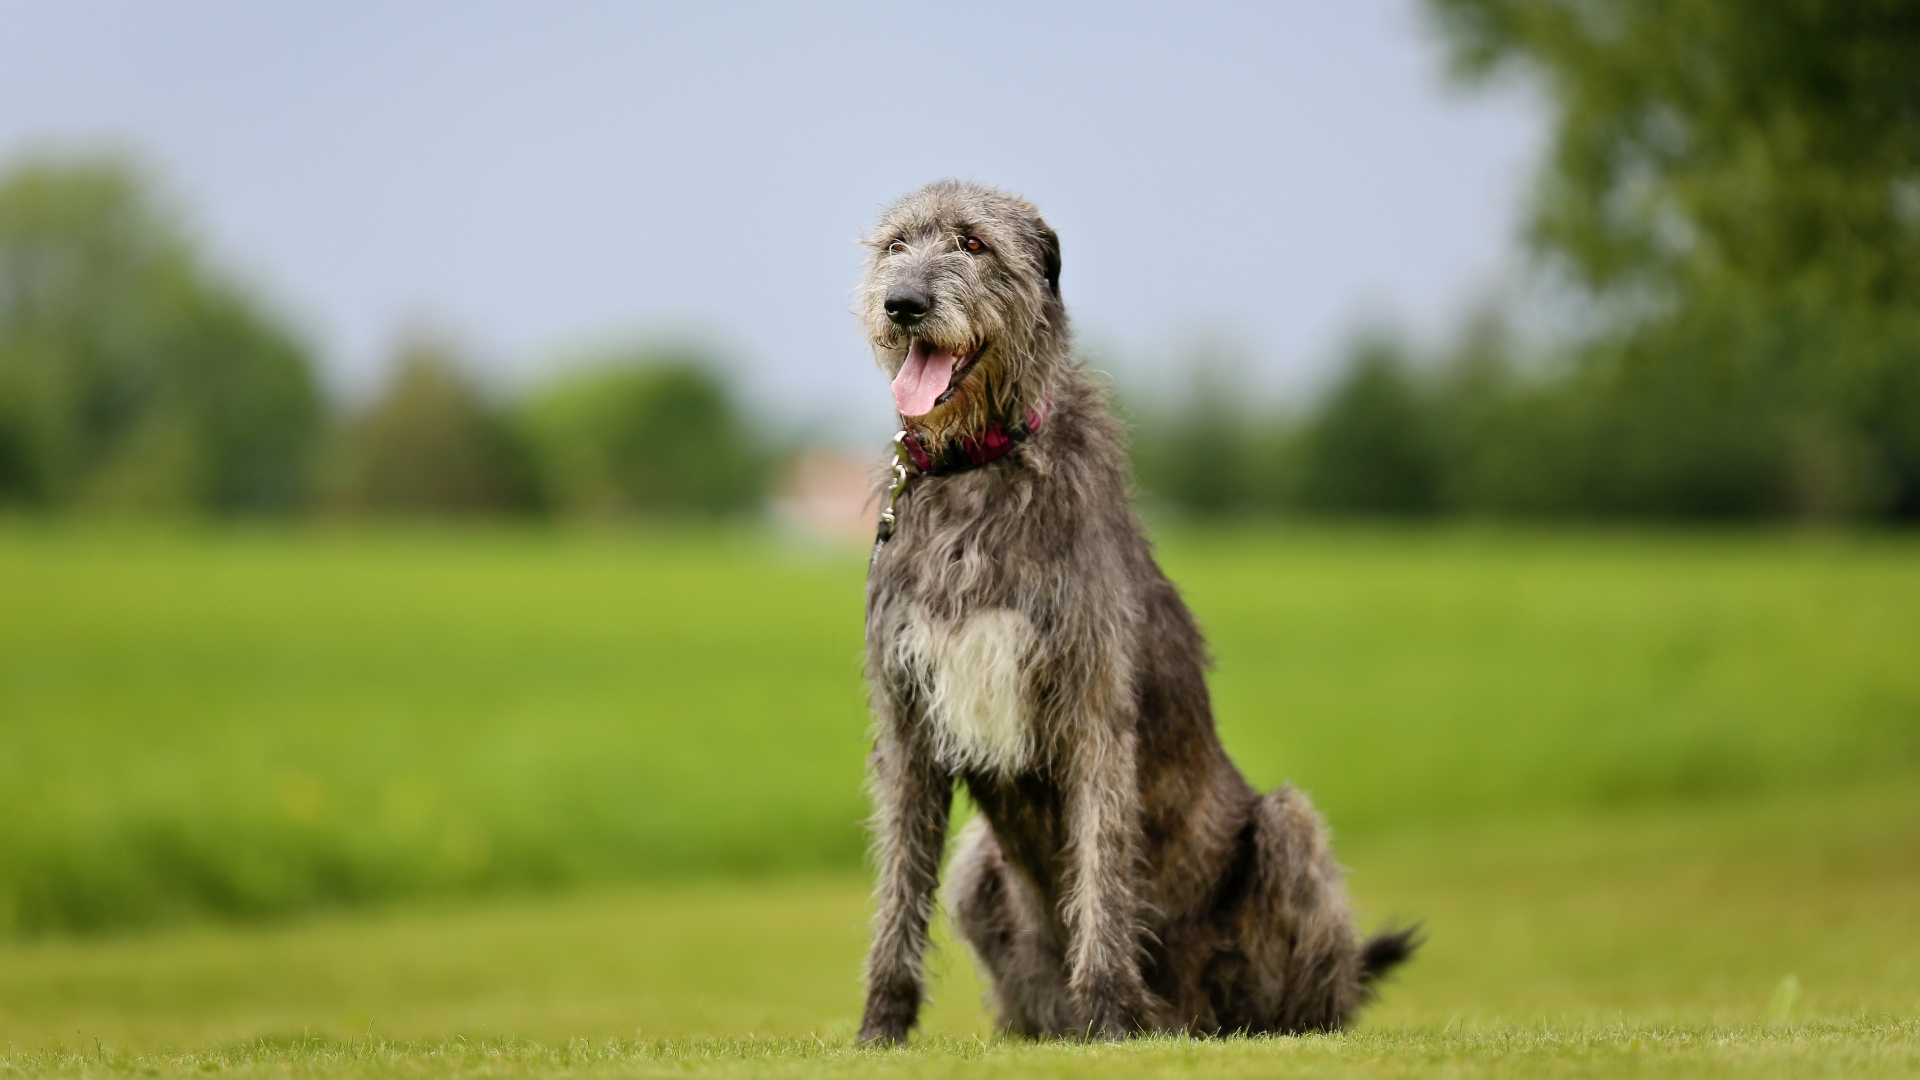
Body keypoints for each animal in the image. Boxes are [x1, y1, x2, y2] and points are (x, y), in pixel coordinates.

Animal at [856, 180, 1413, 1037]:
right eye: (894, 246)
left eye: (973, 243)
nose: (903, 303)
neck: (978, 467)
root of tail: (1192, 1015)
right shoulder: (907, 716)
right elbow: (898, 883)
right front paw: (880, 1027)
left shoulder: (1092, 705)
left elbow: (1102, 868)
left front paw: (1112, 1016)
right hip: (980, 869)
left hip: (1287, 831)